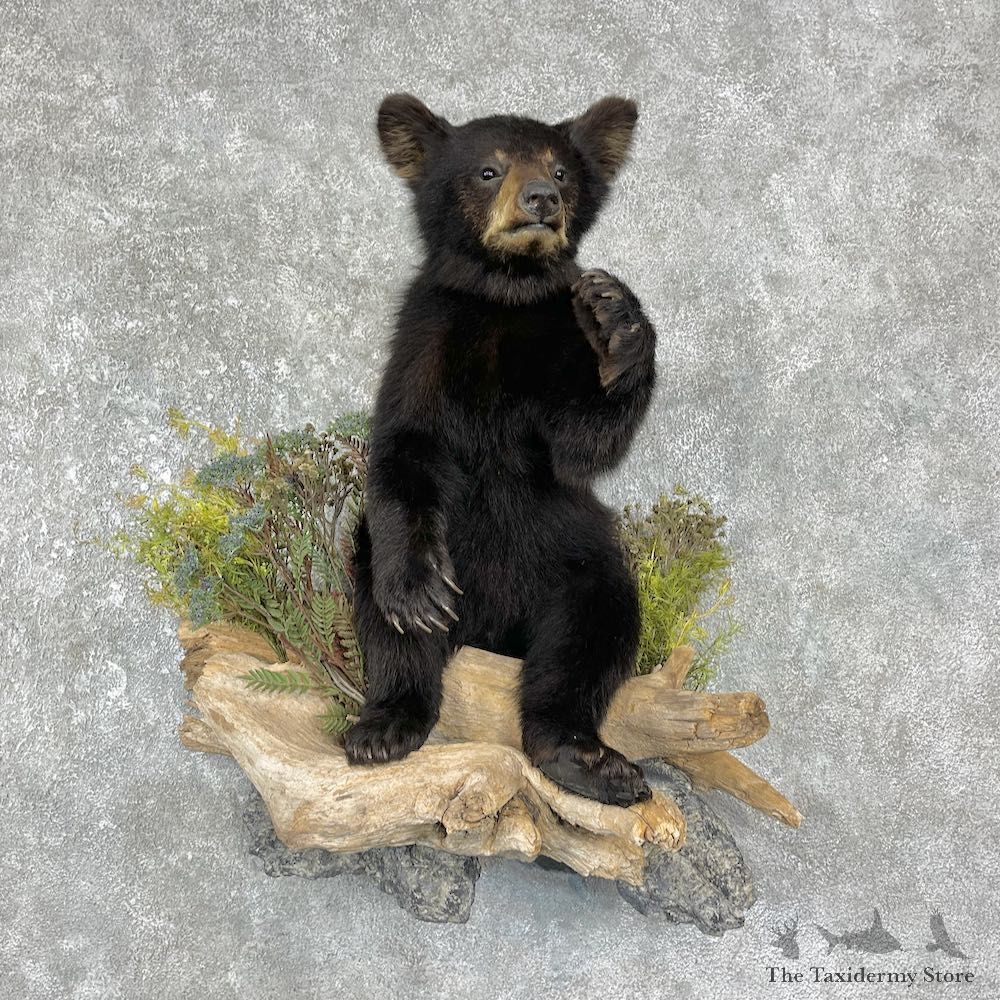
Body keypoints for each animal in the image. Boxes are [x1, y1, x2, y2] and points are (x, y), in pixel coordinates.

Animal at [345, 92, 658, 807]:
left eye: (562, 170)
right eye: (489, 170)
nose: (542, 198)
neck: (505, 293)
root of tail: (493, 631)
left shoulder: (557, 347)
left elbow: (580, 444)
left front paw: (618, 323)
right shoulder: (425, 341)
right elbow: (405, 446)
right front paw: (416, 592)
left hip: (571, 557)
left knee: (590, 633)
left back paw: (585, 758)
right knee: (388, 625)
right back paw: (385, 725)